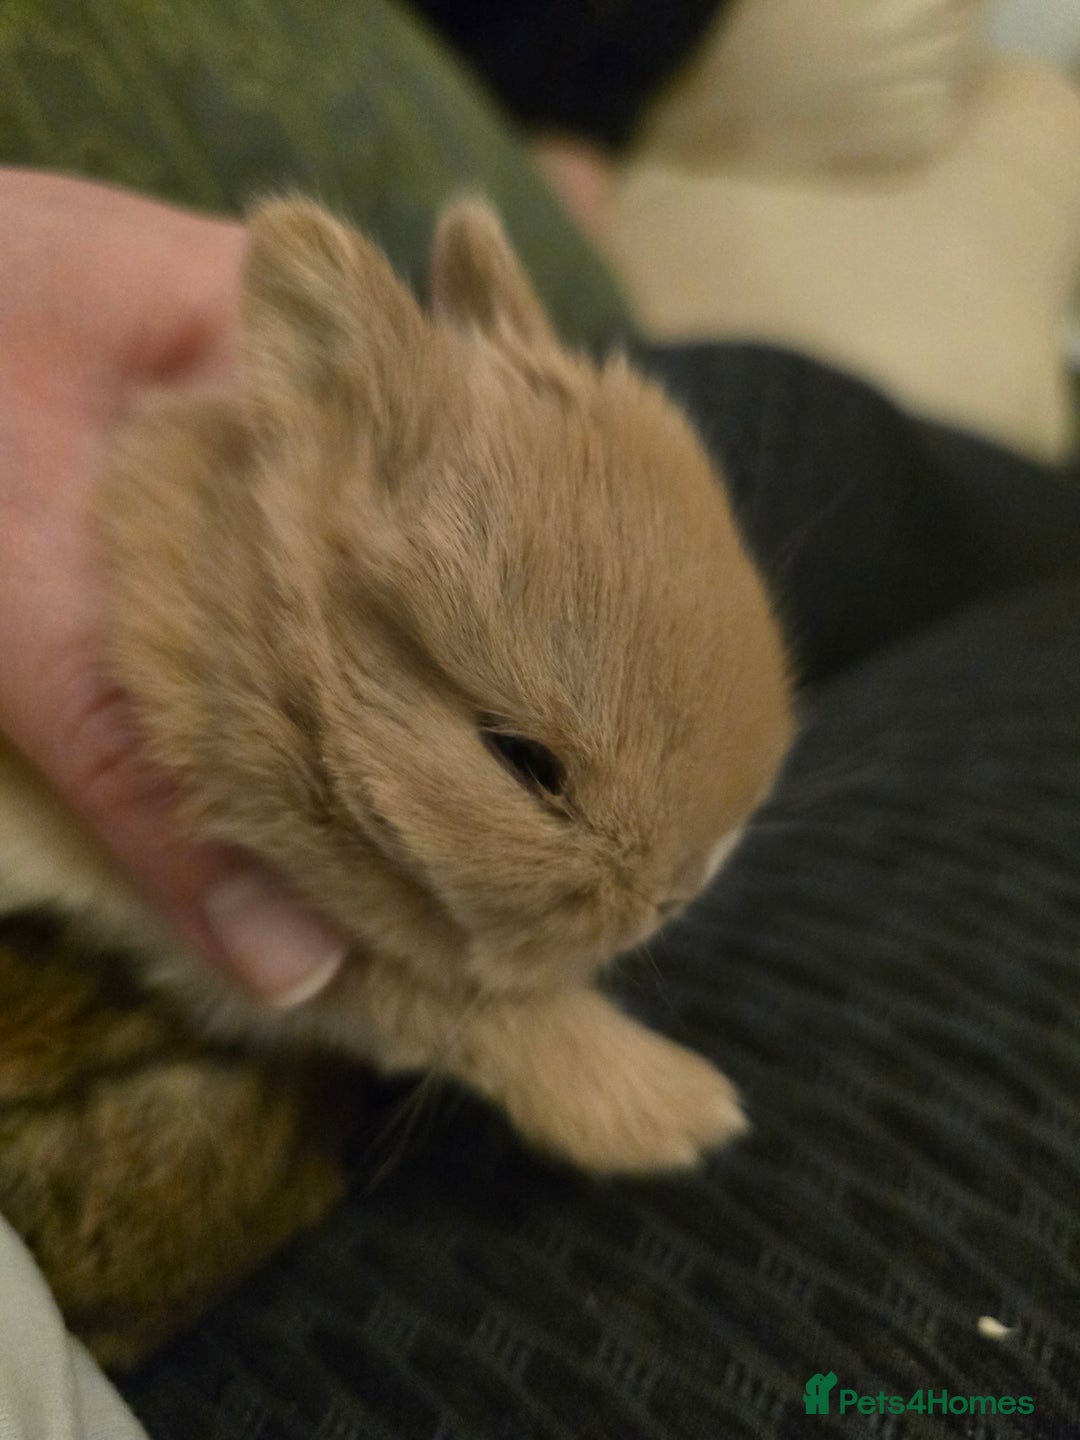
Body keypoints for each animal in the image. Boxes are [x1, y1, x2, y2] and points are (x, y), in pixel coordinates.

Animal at [0, 196, 793, 1363]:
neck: (289, 660)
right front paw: (684, 1114)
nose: (677, 893)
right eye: (523, 761)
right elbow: (501, 1022)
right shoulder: (292, 943)